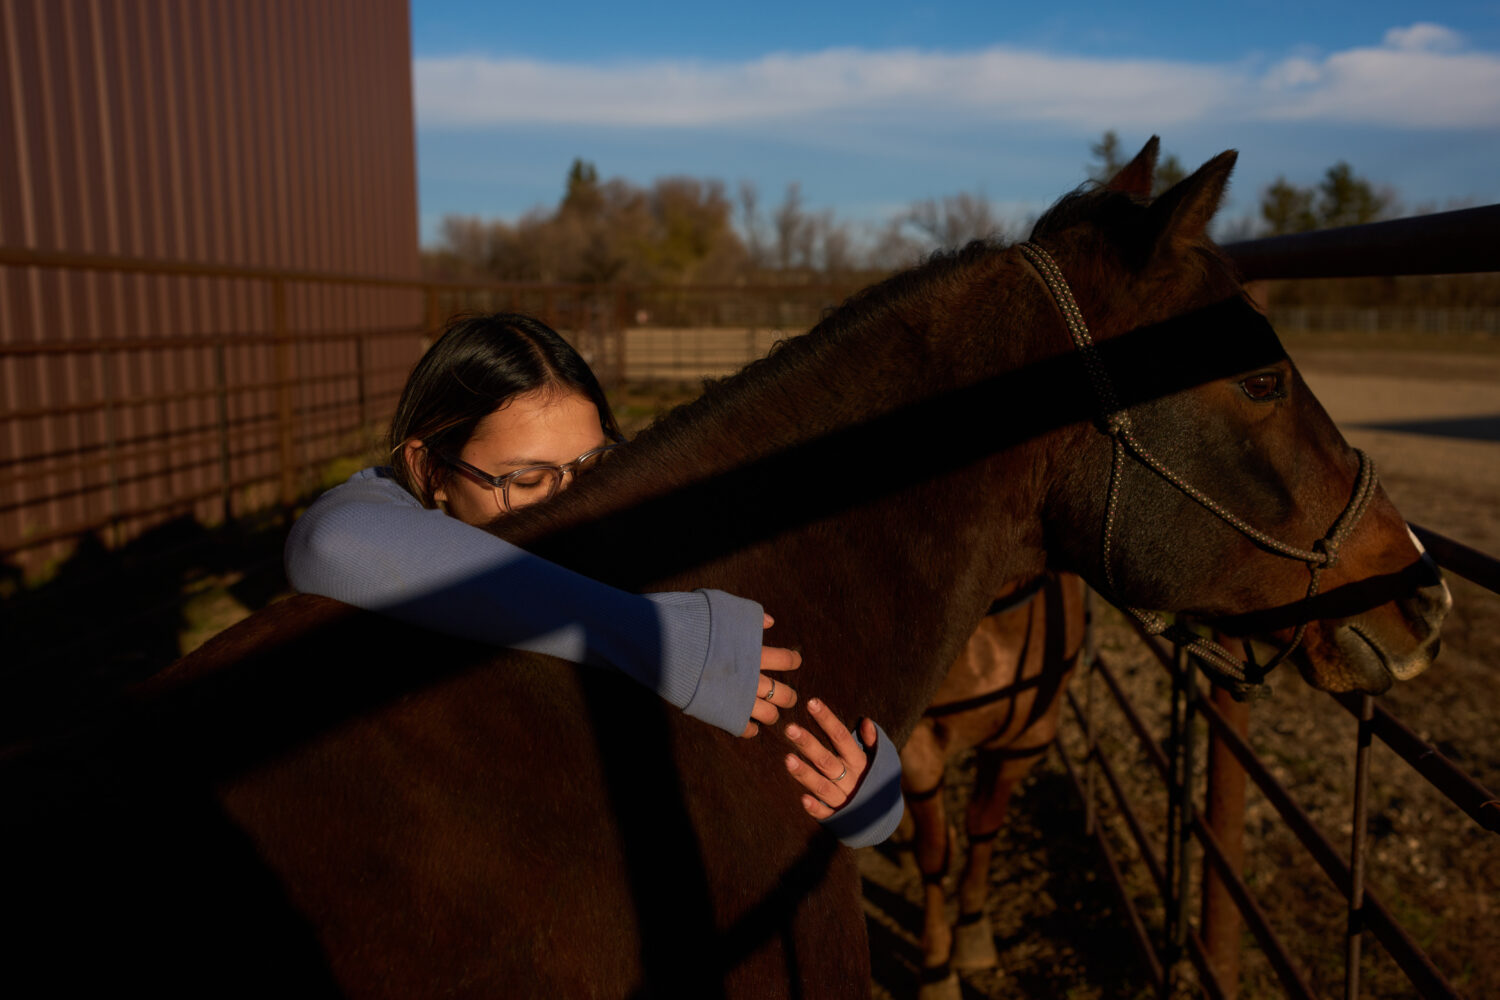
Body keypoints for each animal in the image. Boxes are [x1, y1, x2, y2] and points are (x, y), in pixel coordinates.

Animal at [899, 572, 1085, 999]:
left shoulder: (1022, 740)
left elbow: (982, 826)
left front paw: (972, 928)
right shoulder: (918, 749)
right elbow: (934, 852)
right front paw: (937, 967)